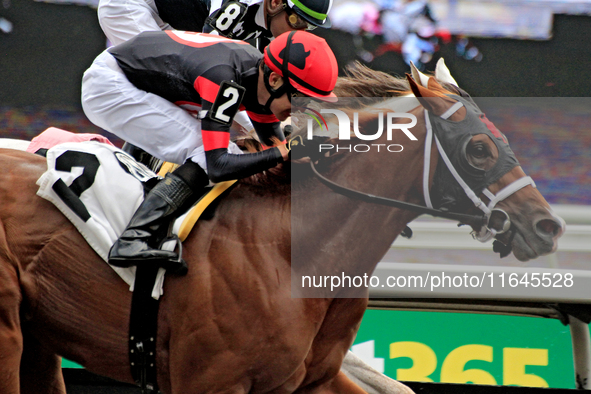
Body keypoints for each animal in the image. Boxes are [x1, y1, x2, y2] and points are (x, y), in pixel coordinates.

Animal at [0, 63, 564, 392]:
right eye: (478, 149)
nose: (548, 225)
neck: (288, 249)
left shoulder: (310, 379)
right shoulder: (208, 381)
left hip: (40, 341)